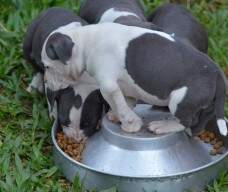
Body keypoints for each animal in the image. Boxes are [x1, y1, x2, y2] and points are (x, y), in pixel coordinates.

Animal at [22, 7, 108, 140]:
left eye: (89, 124)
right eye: (64, 122)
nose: (76, 139)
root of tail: (51, 9)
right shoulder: (52, 85)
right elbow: (52, 102)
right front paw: (53, 115)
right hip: (28, 44)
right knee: (35, 66)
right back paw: (35, 85)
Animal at [41, 22, 227, 136]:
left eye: (47, 66)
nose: (46, 83)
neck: (85, 41)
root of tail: (216, 74)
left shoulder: (108, 86)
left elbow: (121, 105)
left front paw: (130, 123)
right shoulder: (123, 86)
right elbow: (125, 102)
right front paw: (118, 116)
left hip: (179, 100)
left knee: (188, 120)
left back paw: (164, 126)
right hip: (206, 104)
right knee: (199, 122)